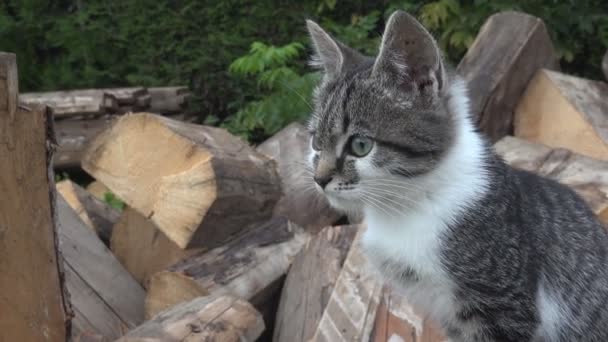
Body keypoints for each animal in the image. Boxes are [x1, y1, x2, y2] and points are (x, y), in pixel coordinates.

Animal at [306, 9, 608, 340]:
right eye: (315, 142)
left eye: (360, 145)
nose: (320, 179)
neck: (411, 204)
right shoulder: (450, 318)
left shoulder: (504, 303)